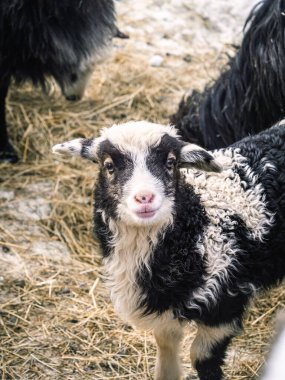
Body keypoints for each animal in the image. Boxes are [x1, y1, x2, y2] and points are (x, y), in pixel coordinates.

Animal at [52, 119, 284, 380]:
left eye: (171, 162)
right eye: (109, 165)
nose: (144, 197)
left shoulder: (227, 303)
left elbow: (202, 358)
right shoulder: (165, 315)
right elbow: (165, 350)